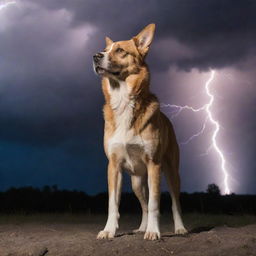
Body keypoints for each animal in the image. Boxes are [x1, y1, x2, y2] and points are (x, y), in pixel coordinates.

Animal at [93, 22, 187, 240]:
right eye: (105, 49)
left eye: (120, 50)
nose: (95, 56)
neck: (123, 99)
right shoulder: (114, 166)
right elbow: (113, 203)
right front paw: (108, 230)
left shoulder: (154, 164)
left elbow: (155, 204)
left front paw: (153, 232)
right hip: (137, 181)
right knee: (143, 204)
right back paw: (142, 227)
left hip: (171, 173)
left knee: (174, 204)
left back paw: (179, 229)